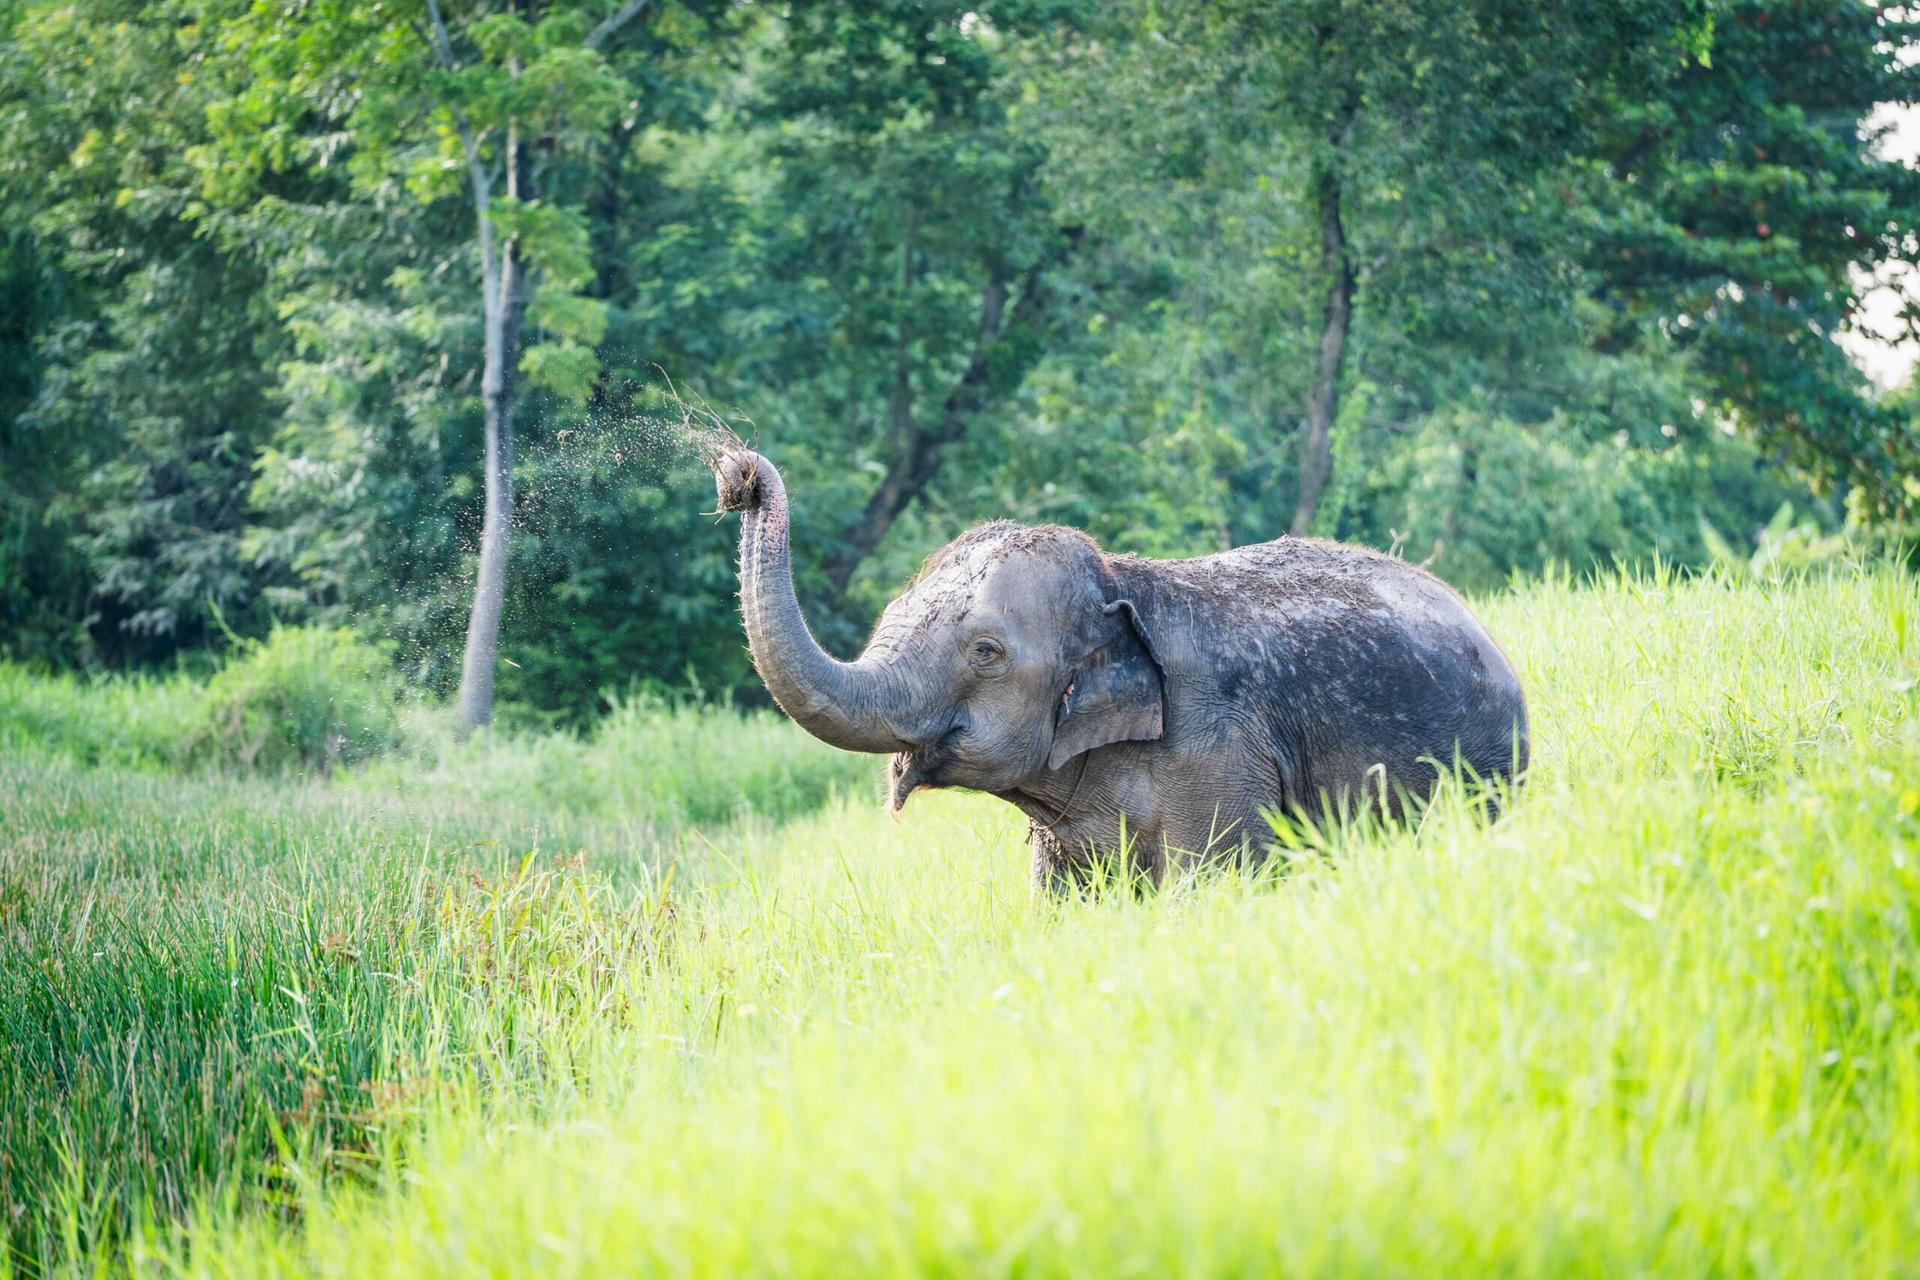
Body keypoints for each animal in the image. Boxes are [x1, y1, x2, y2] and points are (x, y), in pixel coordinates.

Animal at [712, 448, 1528, 893]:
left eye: (985, 652)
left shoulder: (1219, 748)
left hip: (1484, 776)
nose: (739, 475)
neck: (1120, 579)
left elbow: (1214, 888)